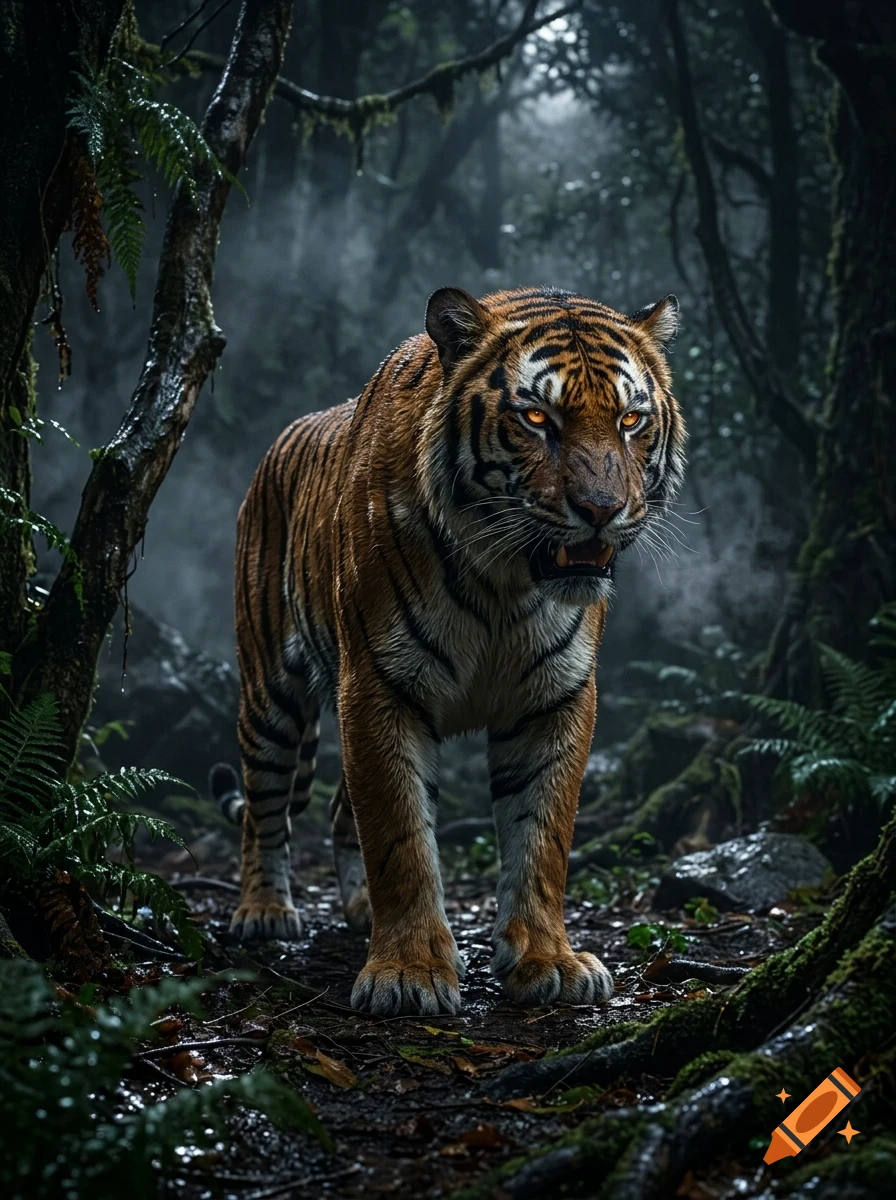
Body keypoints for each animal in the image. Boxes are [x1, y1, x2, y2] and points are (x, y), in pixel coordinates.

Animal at [210, 285, 685, 1017]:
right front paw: (408, 972)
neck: (505, 583)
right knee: (264, 805)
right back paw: (264, 911)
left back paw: (357, 909)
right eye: (537, 417)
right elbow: (399, 834)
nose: (602, 510)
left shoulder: (556, 697)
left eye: (631, 419)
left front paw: (549, 960)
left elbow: (543, 836)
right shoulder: (379, 686)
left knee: (337, 809)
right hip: (270, 691)